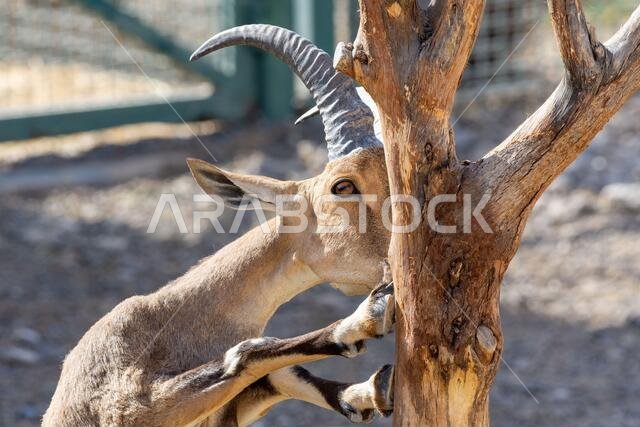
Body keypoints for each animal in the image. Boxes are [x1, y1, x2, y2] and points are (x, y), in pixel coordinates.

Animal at [43, 25, 393, 427]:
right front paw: (364, 320)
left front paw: (368, 392)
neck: (165, 322)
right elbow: (246, 354)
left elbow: (280, 371)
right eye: (343, 185)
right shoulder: (127, 408)